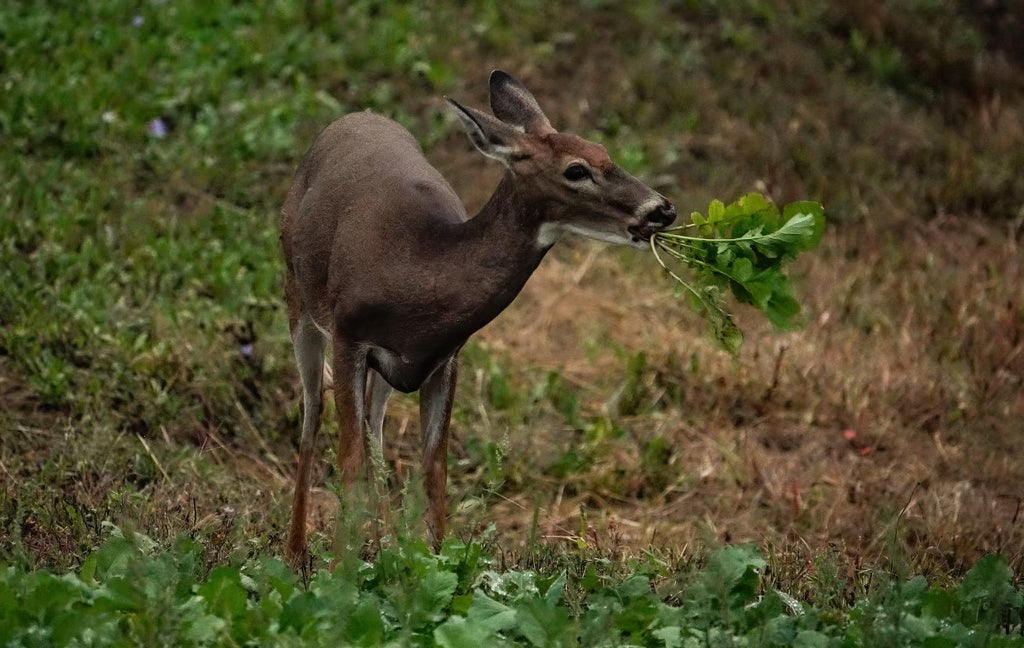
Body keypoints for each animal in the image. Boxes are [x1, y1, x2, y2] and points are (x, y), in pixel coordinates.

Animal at [279, 70, 675, 563]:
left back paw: (378, 543)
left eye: (605, 151)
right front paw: (341, 570)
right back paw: (297, 552)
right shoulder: (350, 336)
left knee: (375, 428)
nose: (661, 208)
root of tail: (353, 117)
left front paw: (429, 561)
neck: (420, 270)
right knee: (313, 409)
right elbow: (348, 459)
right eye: (576, 170)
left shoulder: (444, 359)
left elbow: (434, 467)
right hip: (297, 296)